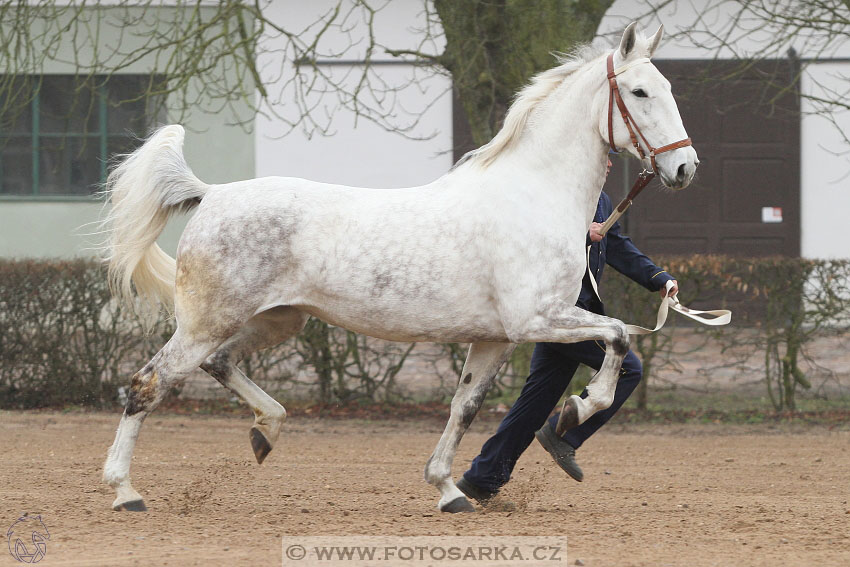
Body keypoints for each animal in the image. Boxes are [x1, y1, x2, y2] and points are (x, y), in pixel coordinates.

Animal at [101, 24, 696, 516]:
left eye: (668, 86)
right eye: (640, 92)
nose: (685, 167)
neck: (533, 194)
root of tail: (212, 194)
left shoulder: (496, 338)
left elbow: (465, 407)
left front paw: (450, 490)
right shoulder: (538, 320)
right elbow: (617, 336)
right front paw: (576, 408)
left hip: (277, 320)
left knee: (218, 364)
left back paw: (266, 432)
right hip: (207, 322)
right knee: (147, 384)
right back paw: (125, 492)